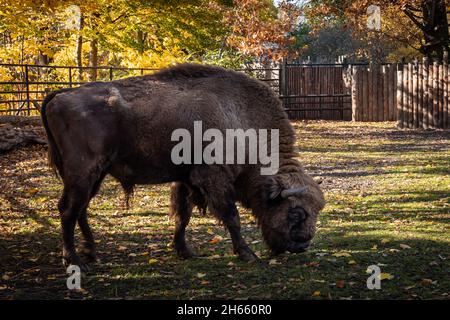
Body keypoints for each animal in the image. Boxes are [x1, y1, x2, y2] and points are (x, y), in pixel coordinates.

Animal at [40, 63, 326, 268]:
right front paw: (247, 254)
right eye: (296, 213)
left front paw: (185, 251)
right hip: (83, 173)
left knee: (81, 209)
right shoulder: (214, 179)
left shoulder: (186, 179)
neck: (240, 118)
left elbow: (183, 215)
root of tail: (61, 94)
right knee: (68, 210)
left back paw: (91, 252)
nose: (302, 246)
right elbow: (231, 216)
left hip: (95, 175)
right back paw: (74, 260)